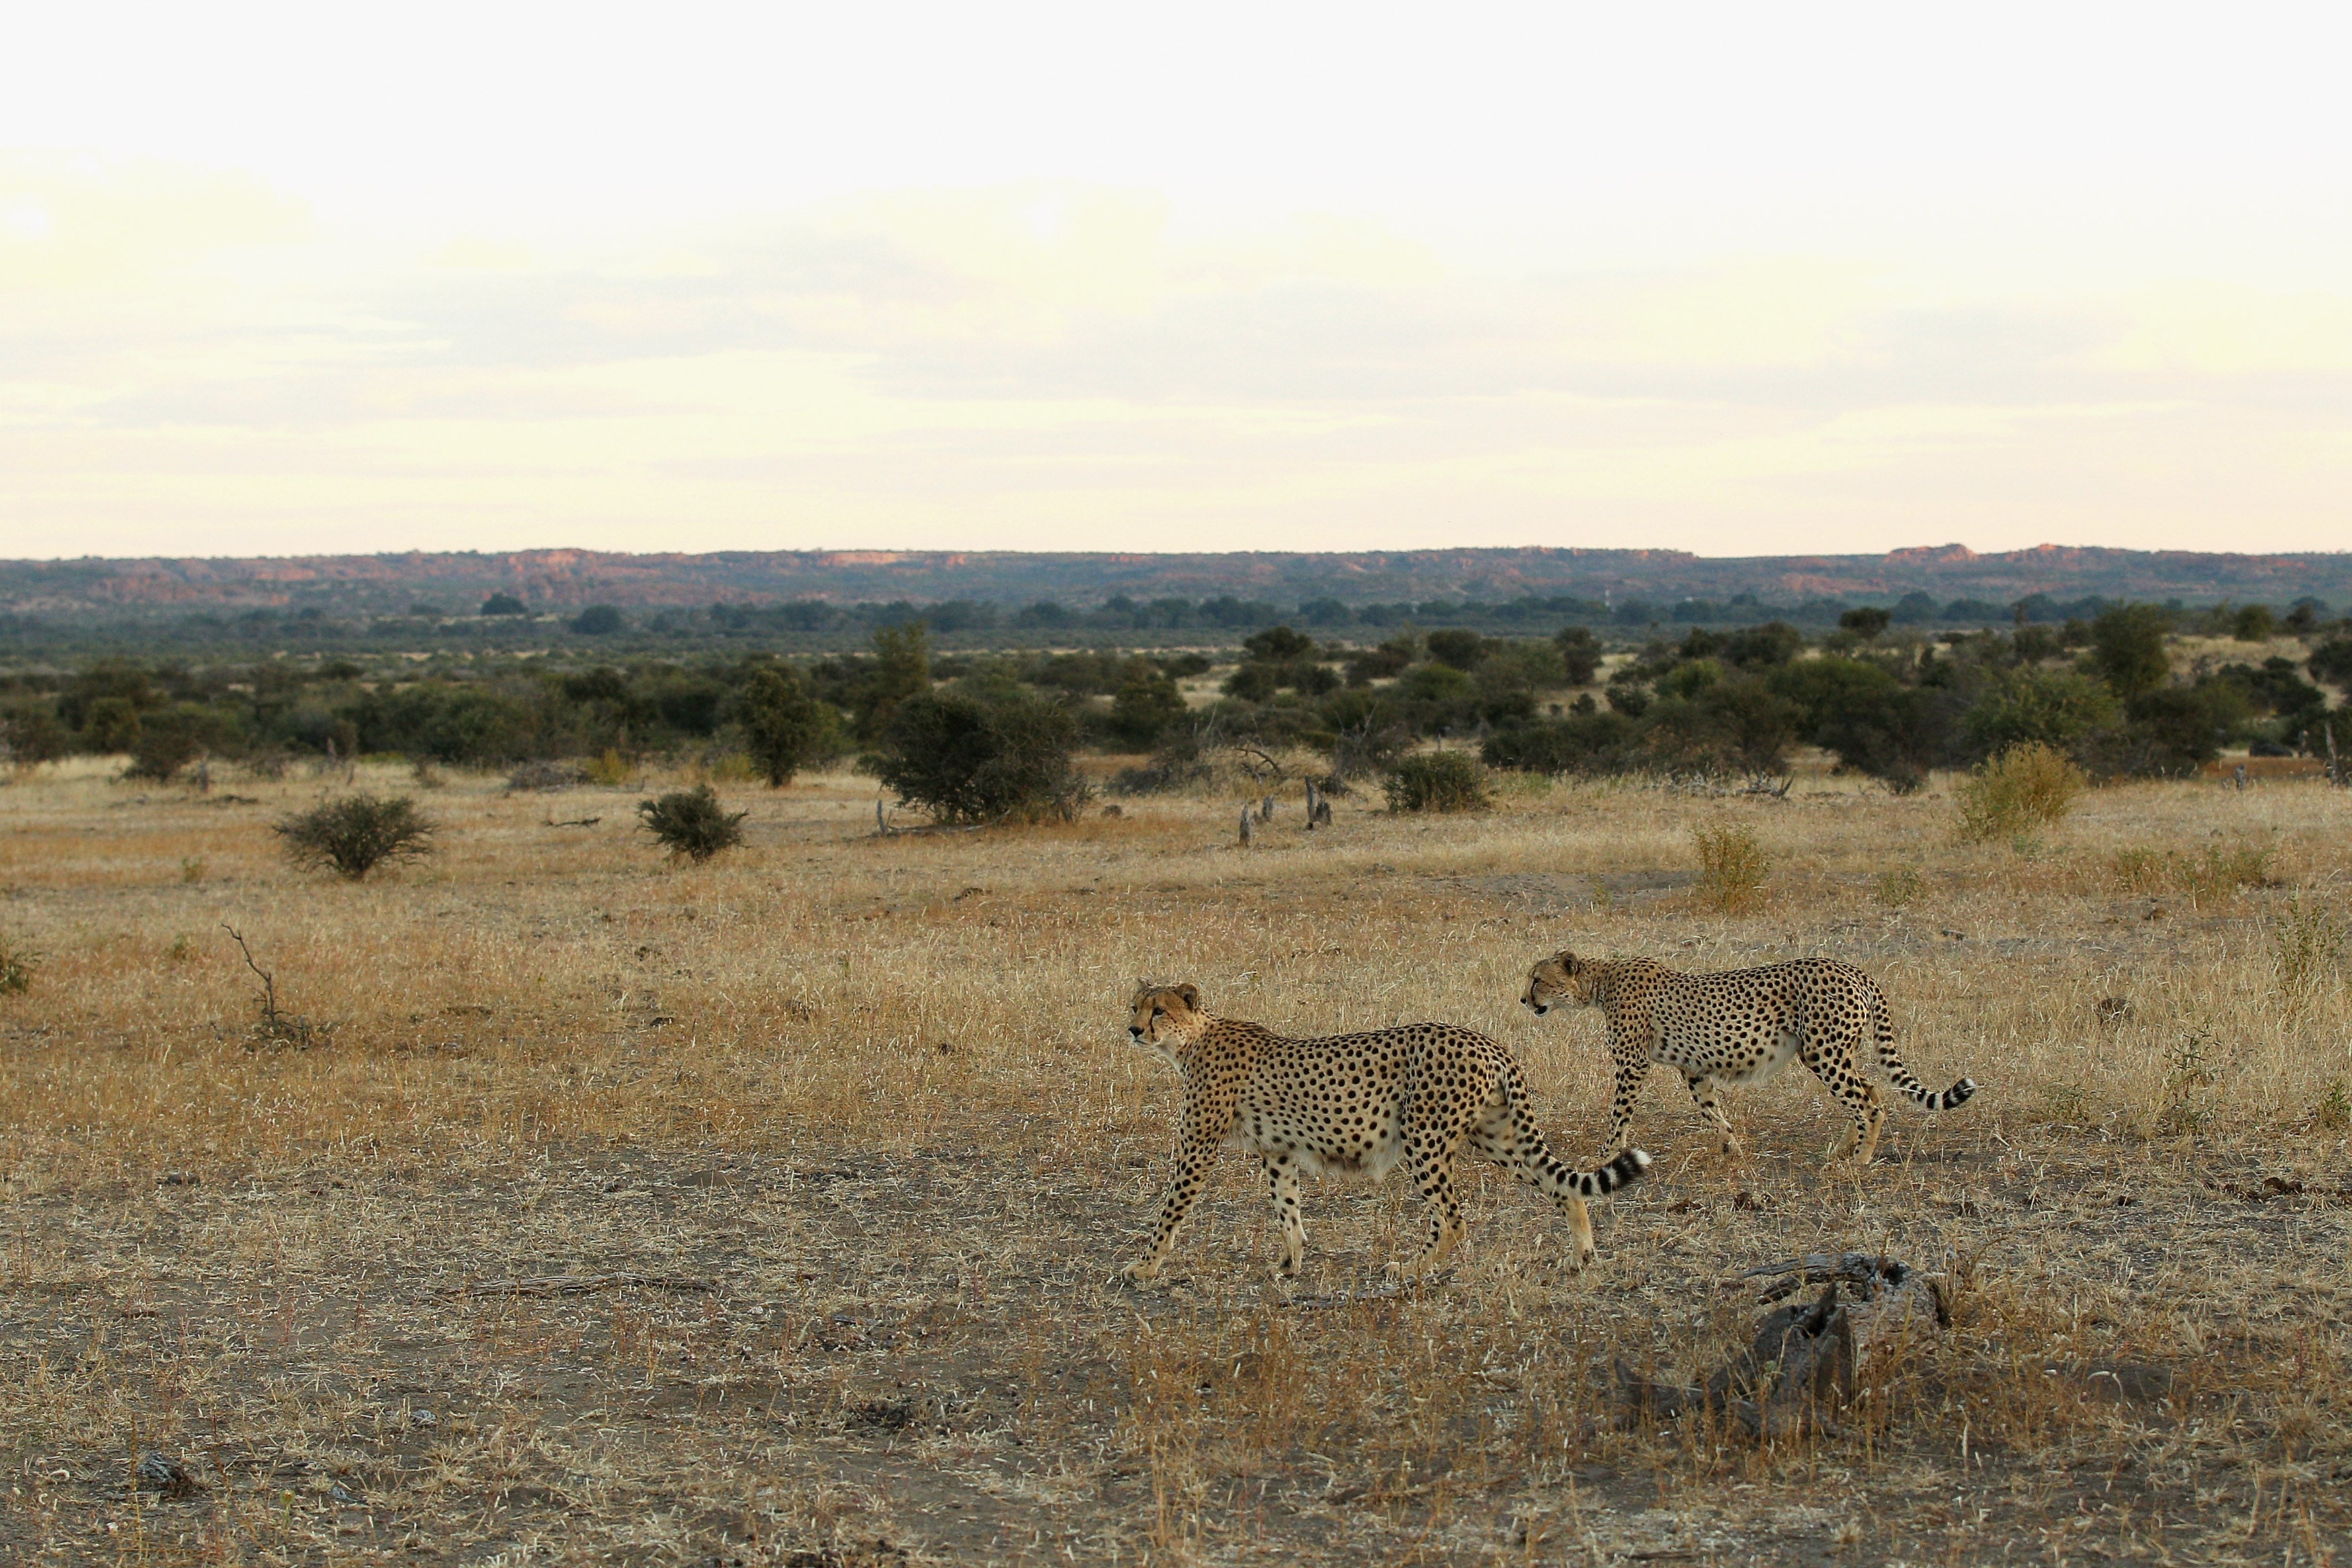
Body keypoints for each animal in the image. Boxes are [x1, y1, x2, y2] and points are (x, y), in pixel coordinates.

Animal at [1124, 982, 1656, 1288]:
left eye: (1159, 1011)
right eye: (1135, 1006)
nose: (1132, 1030)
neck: (1190, 1040)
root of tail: (1487, 1042)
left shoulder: (1196, 1150)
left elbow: (1169, 1213)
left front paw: (1144, 1267)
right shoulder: (1278, 1151)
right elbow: (1287, 1209)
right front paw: (1291, 1264)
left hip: (1425, 1137)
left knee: (1453, 1217)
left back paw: (1413, 1269)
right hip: (1495, 1135)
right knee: (1564, 1188)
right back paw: (1581, 1256)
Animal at [1515, 959, 1976, 1166]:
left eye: (1537, 979)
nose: (1523, 999)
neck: (1600, 980)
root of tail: (1853, 969)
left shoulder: (1633, 1065)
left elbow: (1619, 1115)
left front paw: (1606, 1155)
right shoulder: (1694, 1069)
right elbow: (1711, 1110)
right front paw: (1731, 1147)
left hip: (1824, 1051)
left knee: (1868, 1103)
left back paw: (1860, 1160)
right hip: (1829, 1052)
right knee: (1872, 1089)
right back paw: (1844, 1148)